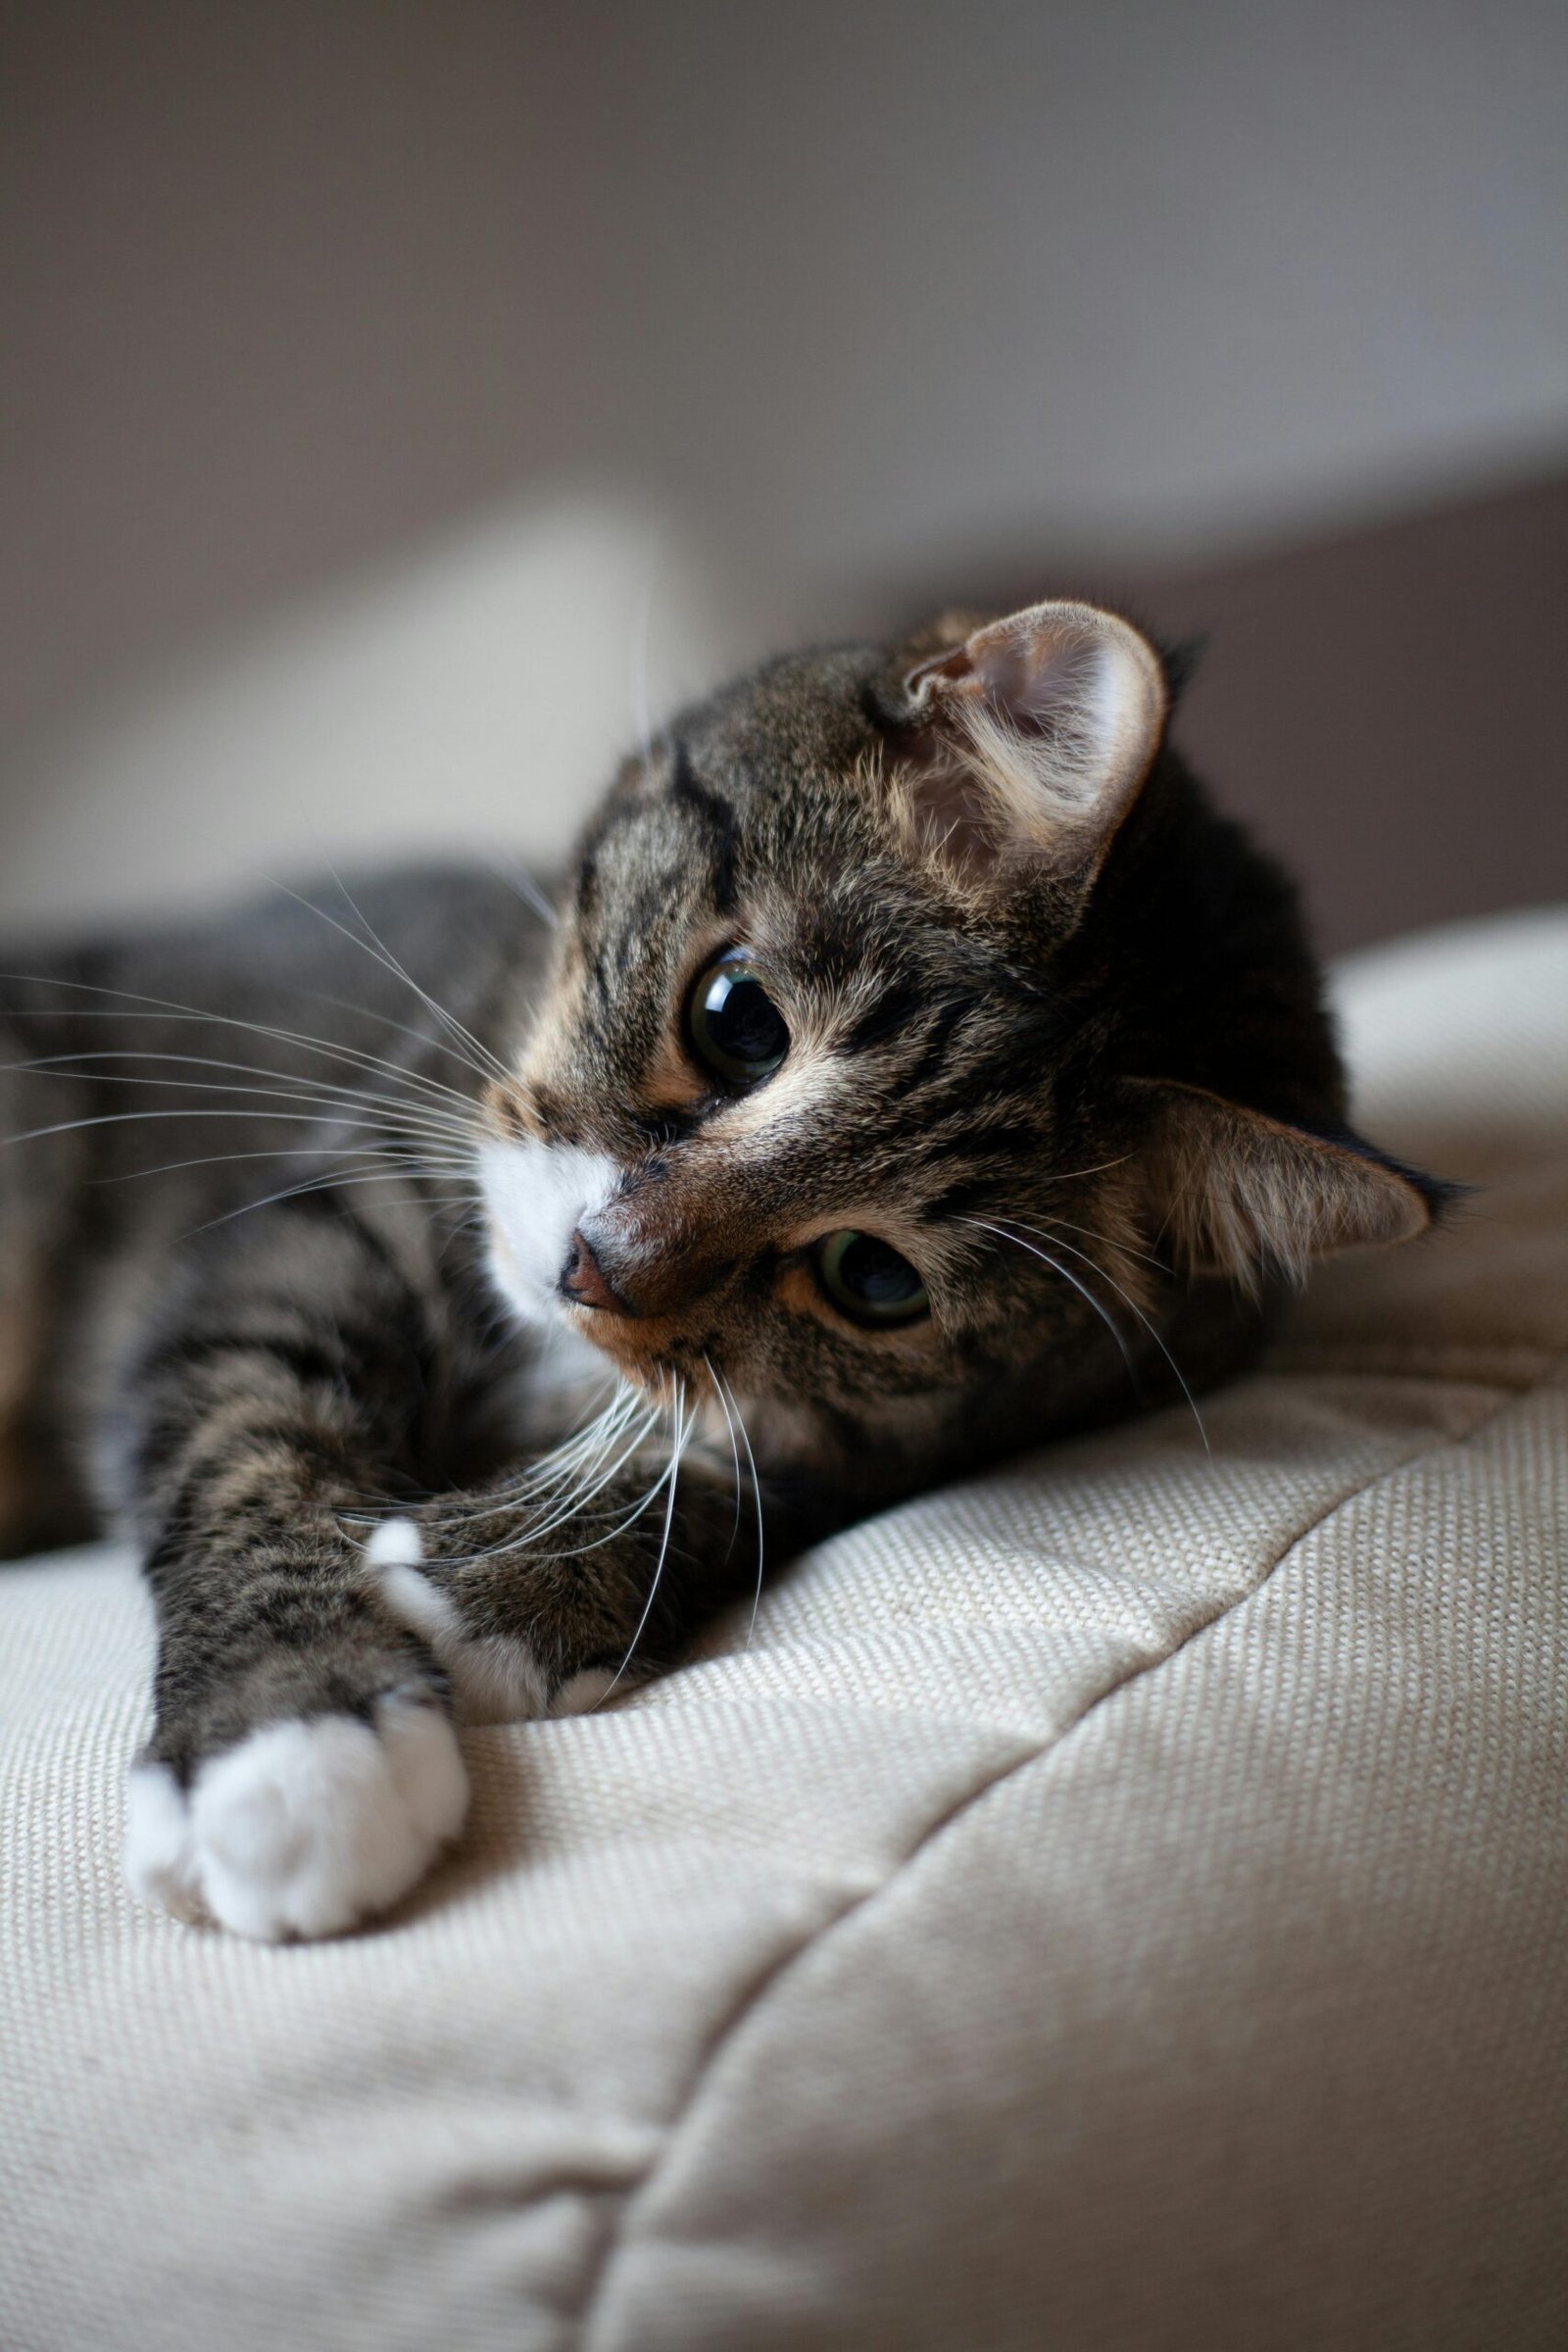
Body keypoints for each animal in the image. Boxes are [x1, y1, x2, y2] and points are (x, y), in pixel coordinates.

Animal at [0, 597, 1447, 1937]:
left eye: (874, 1278)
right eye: (737, 1018)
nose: (592, 1271)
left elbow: (774, 1456)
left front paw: (514, 1576)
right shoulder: (330, 1212)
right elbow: (250, 1426)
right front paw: (293, 1741)